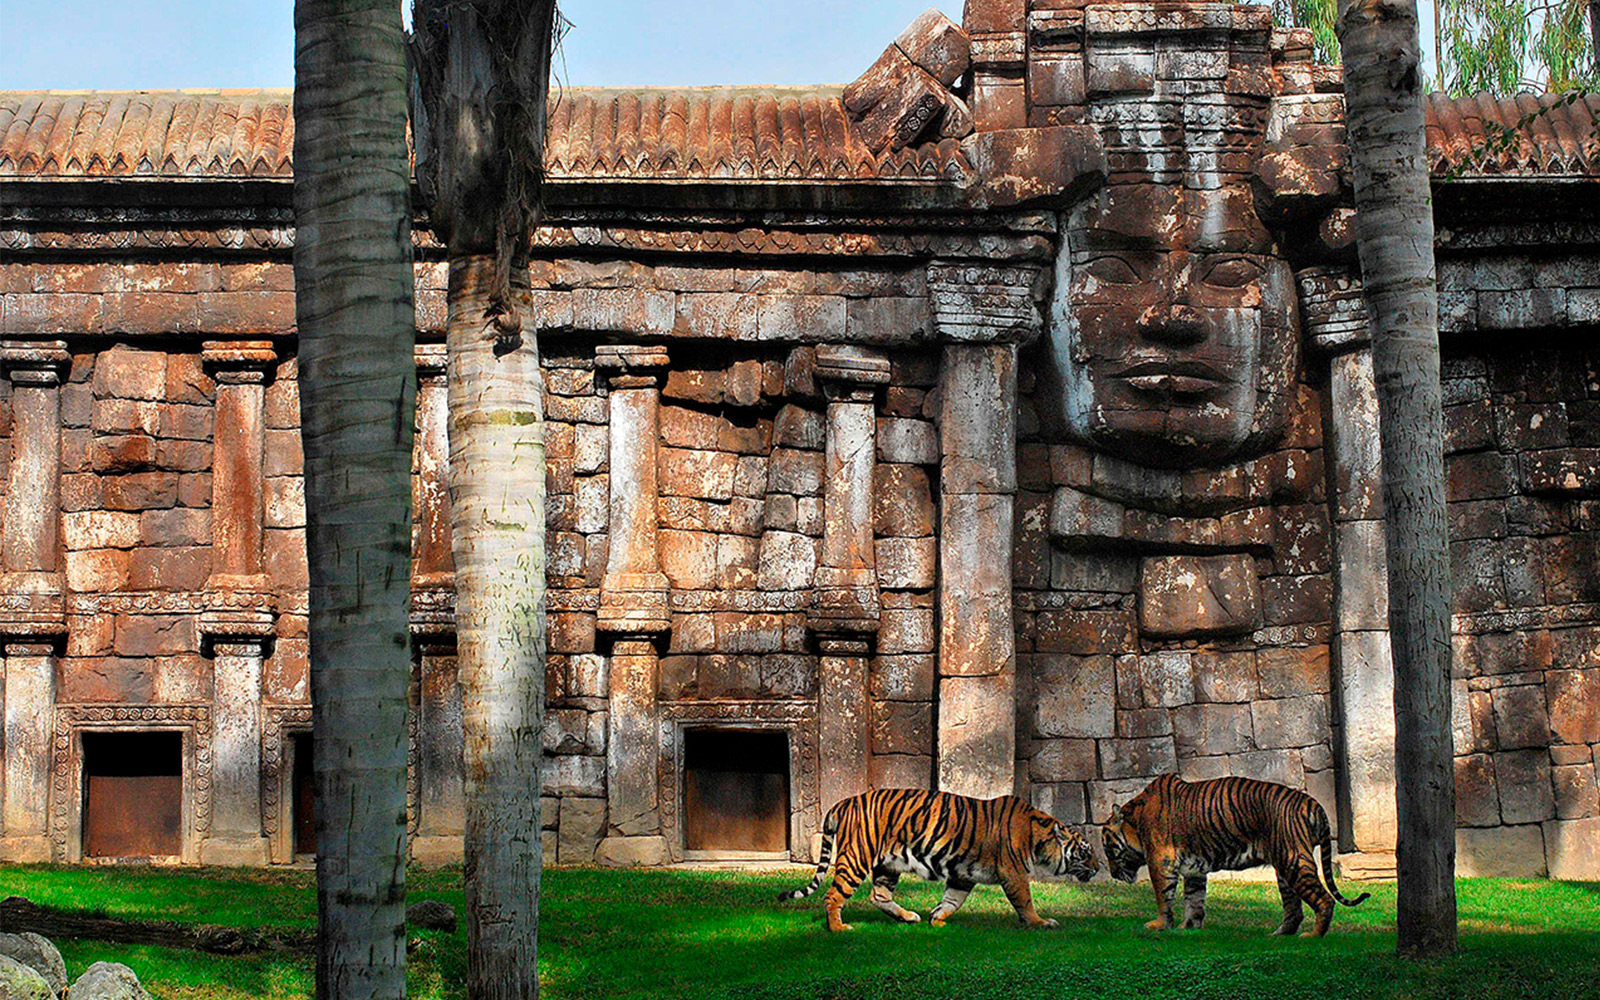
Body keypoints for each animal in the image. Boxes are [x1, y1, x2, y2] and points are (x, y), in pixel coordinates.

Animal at [774, 787, 1100, 934]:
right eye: (1085, 852)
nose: (1098, 869)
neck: (1039, 838)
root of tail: (844, 802)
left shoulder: (963, 874)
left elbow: (952, 900)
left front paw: (937, 919)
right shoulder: (1014, 872)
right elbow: (1025, 899)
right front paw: (1040, 922)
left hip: (887, 865)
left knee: (878, 896)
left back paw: (908, 917)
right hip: (857, 858)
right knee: (832, 896)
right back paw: (839, 928)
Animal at [1100, 771, 1376, 934]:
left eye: (1108, 849)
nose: (1112, 874)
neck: (1134, 822)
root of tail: (1313, 803)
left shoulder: (1161, 862)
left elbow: (1162, 896)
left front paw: (1159, 925)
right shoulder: (1194, 869)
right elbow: (1194, 899)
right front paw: (1189, 928)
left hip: (1293, 861)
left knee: (1324, 900)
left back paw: (1313, 936)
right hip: (1285, 867)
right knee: (1294, 909)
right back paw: (1278, 935)